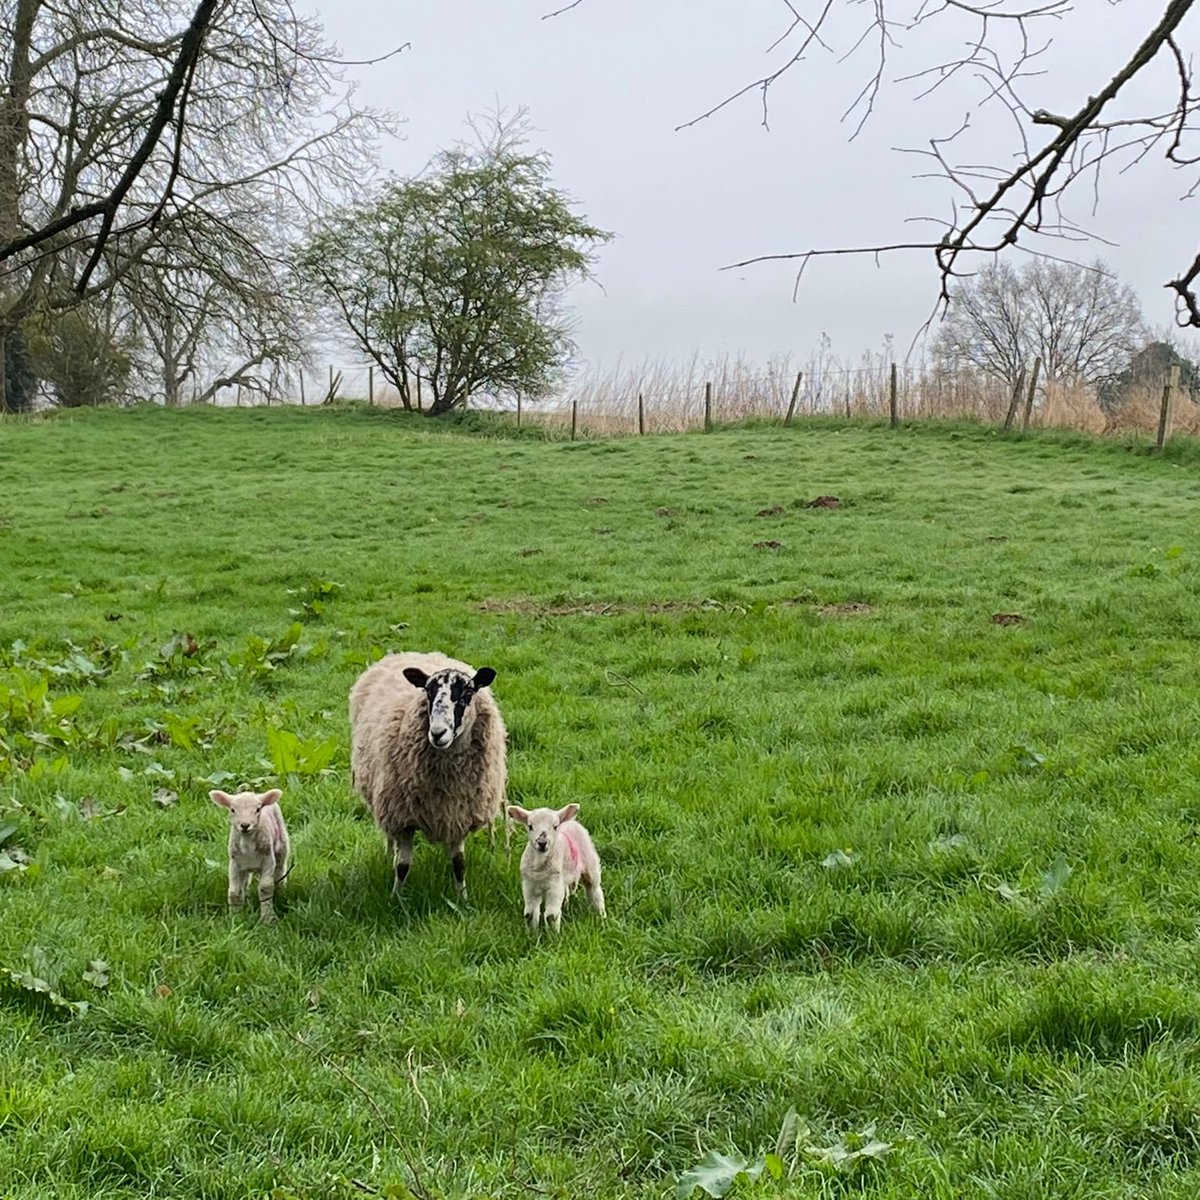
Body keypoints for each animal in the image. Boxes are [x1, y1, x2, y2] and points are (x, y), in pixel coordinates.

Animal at [208, 782, 288, 921]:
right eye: (232, 810)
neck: (248, 846)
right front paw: (235, 918)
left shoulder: (268, 860)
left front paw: (268, 918)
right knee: (244, 884)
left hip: (281, 845)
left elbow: (265, 888)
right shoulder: (234, 863)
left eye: (258, 809)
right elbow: (234, 892)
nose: (245, 825)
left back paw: (281, 890)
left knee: (280, 870)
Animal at [350, 652, 511, 897]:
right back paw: (389, 855)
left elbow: (459, 863)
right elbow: (403, 865)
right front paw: (396, 898)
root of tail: (407, 653)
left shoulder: (458, 814)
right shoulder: (403, 818)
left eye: (468, 693)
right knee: (390, 838)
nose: (437, 733)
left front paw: (462, 897)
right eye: (427, 692)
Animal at [506, 801, 604, 931]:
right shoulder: (529, 884)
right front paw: (532, 932)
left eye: (555, 826)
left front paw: (554, 935)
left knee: (594, 890)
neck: (540, 866)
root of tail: (572, 822)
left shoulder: (554, 885)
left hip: (590, 863)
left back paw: (601, 915)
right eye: (530, 826)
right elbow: (529, 914)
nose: (542, 843)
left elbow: (551, 916)